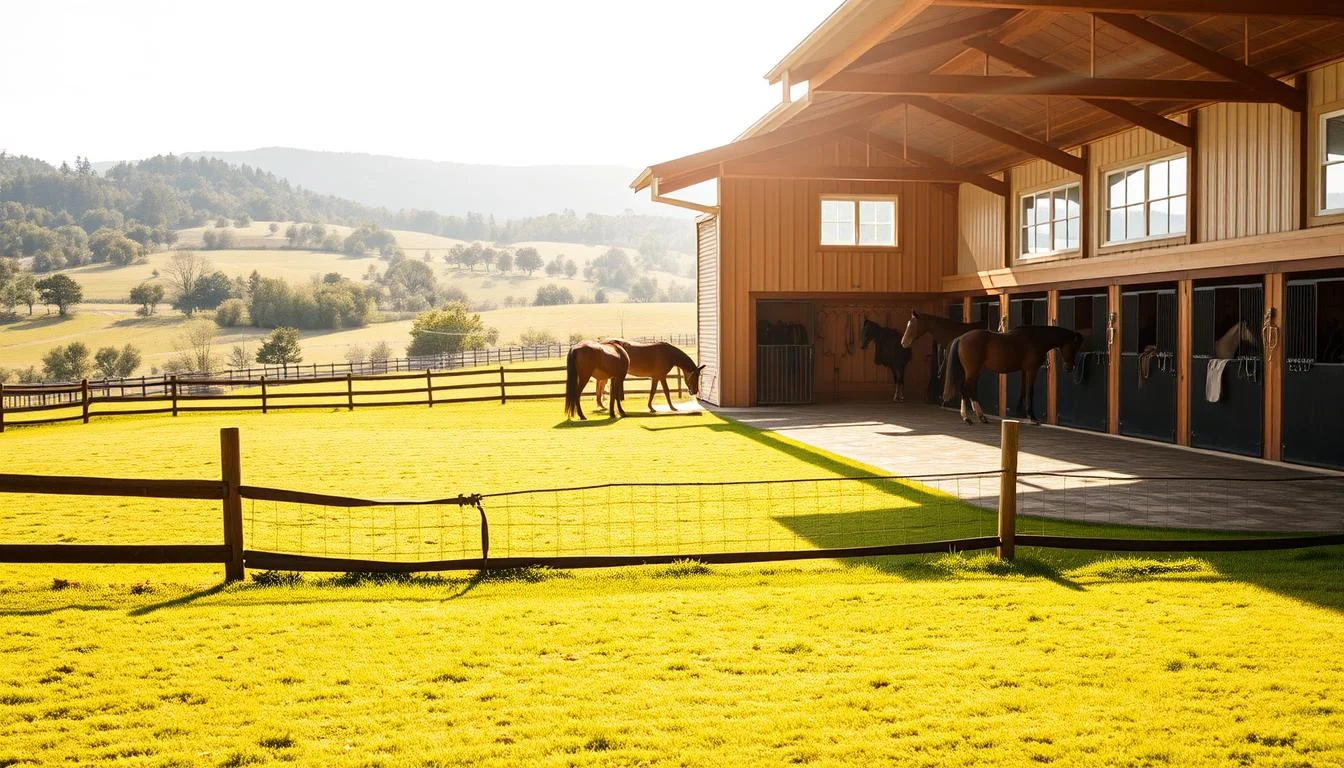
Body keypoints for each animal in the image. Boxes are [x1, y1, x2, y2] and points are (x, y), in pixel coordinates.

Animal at [942, 325, 1083, 426]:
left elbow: (1023, 390)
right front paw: (1033, 417)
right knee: (966, 389)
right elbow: (1030, 391)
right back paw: (970, 418)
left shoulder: (1024, 370)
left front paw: (1020, 413)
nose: (1070, 367)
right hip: (973, 371)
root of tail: (961, 338)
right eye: (1074, 346)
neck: (1036, 339)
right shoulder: (1032, 369)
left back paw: (978, 417)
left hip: (972, 371)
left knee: (969, 389)